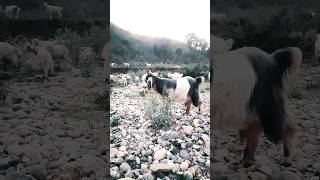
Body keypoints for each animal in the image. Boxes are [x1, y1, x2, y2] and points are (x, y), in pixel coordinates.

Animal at [211, 37, 302, 167]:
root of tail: (273, 59)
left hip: (268, 103)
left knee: (285, 127)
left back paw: (287, 160)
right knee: (254, 125)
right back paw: (248, 159)